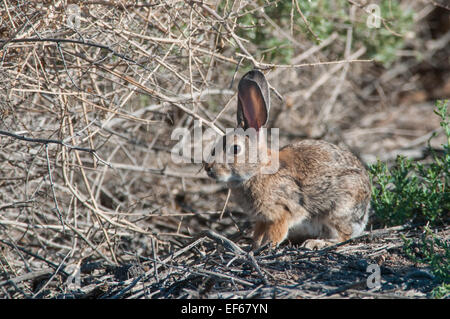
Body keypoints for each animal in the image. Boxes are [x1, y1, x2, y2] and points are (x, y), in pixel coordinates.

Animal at [205, 69, 372, 250]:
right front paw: (255, 246)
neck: (258, 169)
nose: (208, 168)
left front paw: (268, 246)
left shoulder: (283, 212)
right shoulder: (262, 219)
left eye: (235, 149)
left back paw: (317, 243)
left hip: (338, 209)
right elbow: (258, 233)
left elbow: (276, 233)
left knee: (344, 236)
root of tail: (365, 211)